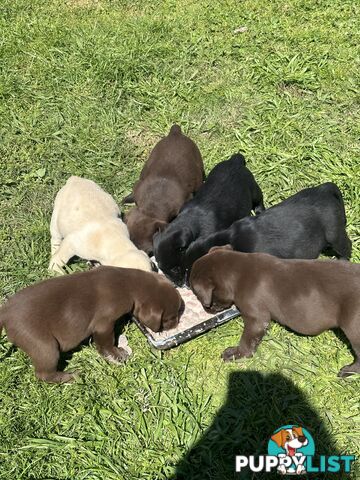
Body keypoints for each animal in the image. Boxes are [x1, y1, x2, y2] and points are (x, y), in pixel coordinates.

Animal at [0, 266, 181, 382]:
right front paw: (117, 354)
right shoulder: (104, 324)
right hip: (44, 346)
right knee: (43, 374)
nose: (177, 322)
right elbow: (106, 343)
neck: (128, 283)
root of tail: (5, 313)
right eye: (169, 318)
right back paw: (70, 377)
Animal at [153, 153, 264, 284]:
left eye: (175, 269)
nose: (177, 284)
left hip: (253, 188)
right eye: (161, 268)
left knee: (259, 200)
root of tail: (234, 161)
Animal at [190, 246, 358, 376]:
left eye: (198, 296)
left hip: (354, 328)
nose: (207, 309)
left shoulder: (256, 319)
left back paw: (348, 371)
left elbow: (247, 340)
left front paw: (235, 354)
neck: (238, 271)